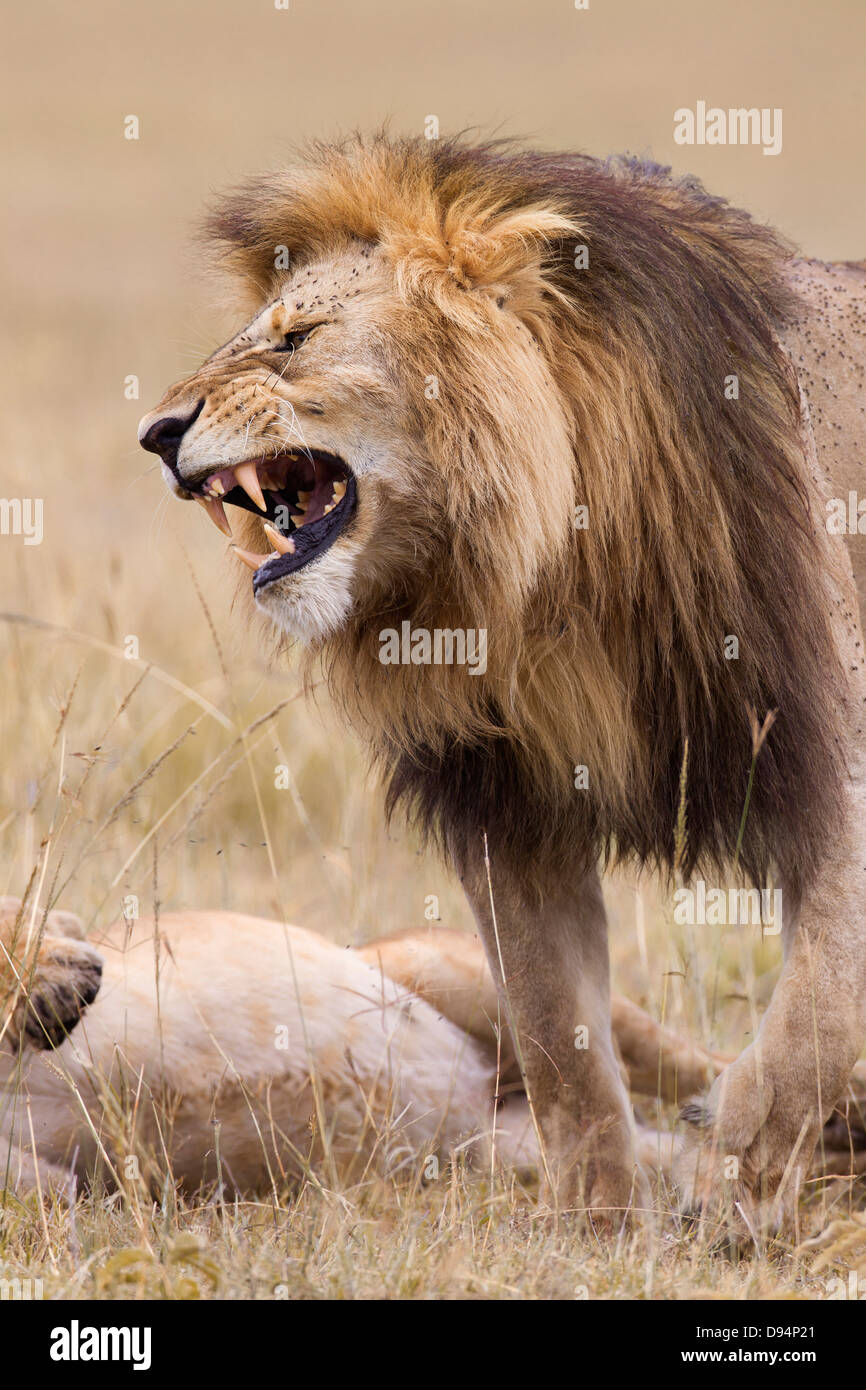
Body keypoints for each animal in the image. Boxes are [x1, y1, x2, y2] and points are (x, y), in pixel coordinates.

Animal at [138, 134, 866, 1235]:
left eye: (298, 337)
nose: (156, 432)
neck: (544, 572)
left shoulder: (828, 761)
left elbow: (817, 1007)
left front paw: (744, 1166)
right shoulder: (507, 806)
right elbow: (552, 1025)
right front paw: (595, 1220)